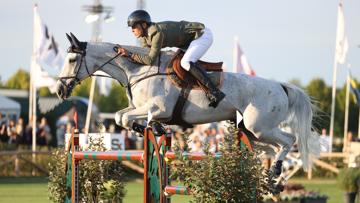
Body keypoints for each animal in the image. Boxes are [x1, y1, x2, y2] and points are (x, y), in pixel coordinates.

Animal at [57, 33, 320, 176]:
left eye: (71, 59)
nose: (60, 90)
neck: (139, 70)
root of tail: (282, 87)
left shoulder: (158, 108)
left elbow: (131, 117)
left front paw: (152, 129)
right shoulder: (139, 108)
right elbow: (121, 117)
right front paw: (153, 130)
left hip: (260, 127)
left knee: (288, 140)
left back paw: (275, 170)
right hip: (252, 131)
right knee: (273, 147)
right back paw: (271, 175)